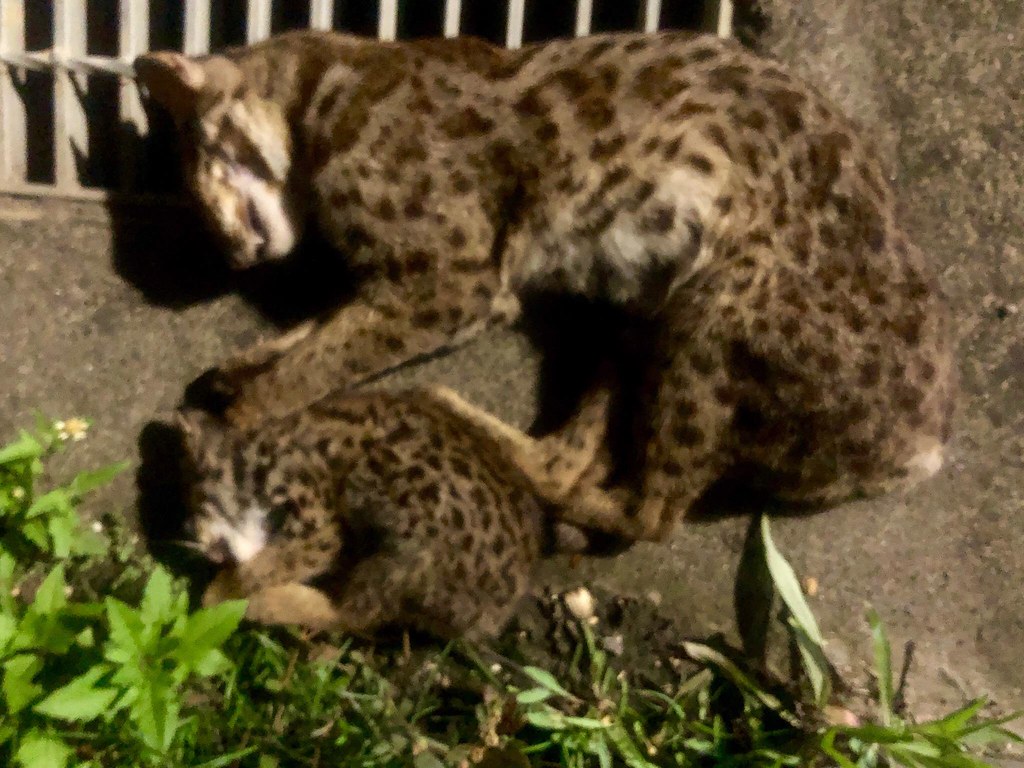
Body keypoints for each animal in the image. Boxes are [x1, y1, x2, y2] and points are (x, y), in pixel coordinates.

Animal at [138, 30, 958, 544]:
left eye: (194, 163)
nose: (231, 257)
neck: (325, 89)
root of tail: (921, 449)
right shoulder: (414, 284)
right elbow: (321, 330)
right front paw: (243, 365)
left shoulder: (457, 281)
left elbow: (321, 360)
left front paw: (242, 415)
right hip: (649, 316)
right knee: (580, 455)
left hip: (713, 308)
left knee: (648, 511)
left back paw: (467, 426)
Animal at [179, 385, 602, 643]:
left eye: (197, 507)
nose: (208, 551)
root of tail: (492, 616)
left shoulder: (317, 518)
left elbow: (269, 564)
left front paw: (218, 596)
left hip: (388, 497)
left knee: (354, 616)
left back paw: (264, 606)